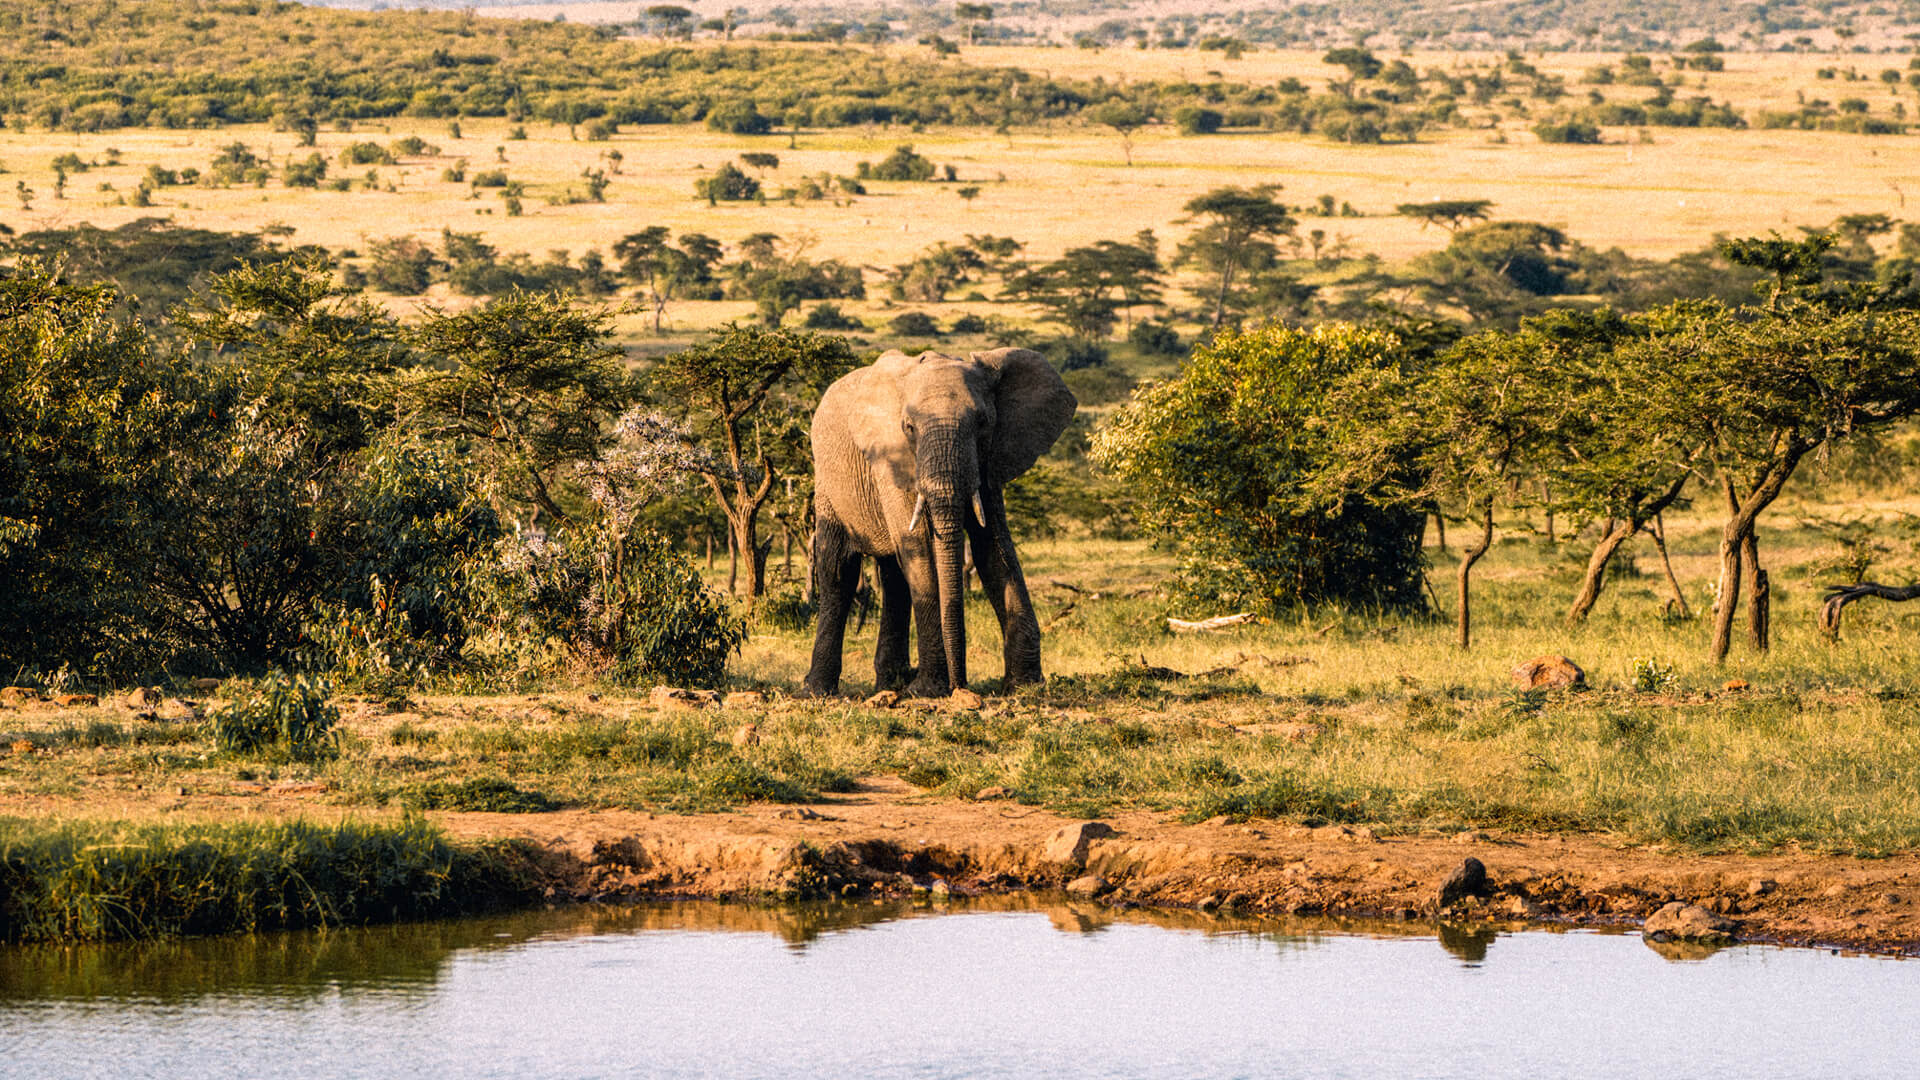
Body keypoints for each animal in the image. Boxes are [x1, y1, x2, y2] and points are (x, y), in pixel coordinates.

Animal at [801, 347, 1077, 698]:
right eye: (908, 427)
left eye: (983, 423)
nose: (961, 685)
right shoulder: (890, 458)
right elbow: (918, 547)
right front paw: (928, 689)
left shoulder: (988, 461)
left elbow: (995, 550)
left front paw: (1024, 686)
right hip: (827, 482)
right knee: (839, 570)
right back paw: (818, 691)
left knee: (893, 575)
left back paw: (890, 683)